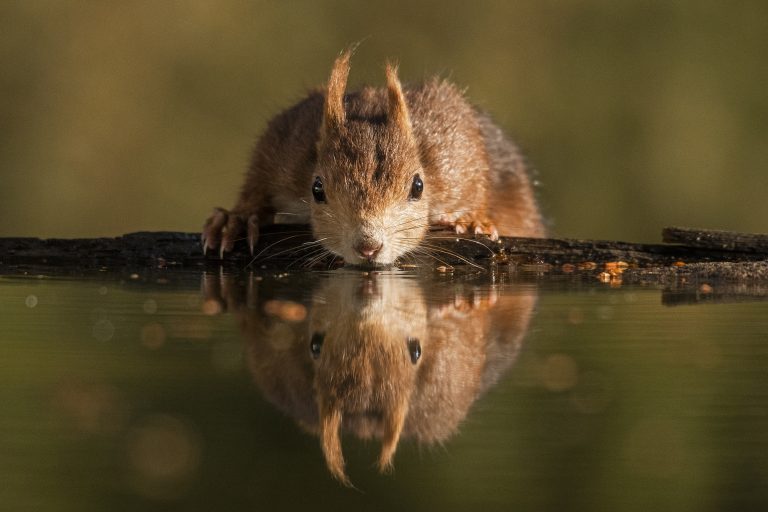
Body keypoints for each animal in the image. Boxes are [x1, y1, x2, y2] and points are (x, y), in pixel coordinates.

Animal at [202, 50, 545, 265]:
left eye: (418, 187)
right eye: (317, 189)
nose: (367, 247)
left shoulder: (456, 147)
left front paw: (472, 220)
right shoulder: (287, 145)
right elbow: (257, 179)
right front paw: (238, 218)